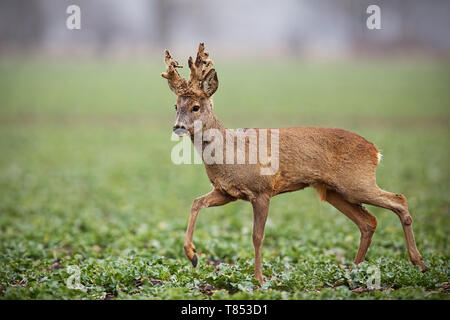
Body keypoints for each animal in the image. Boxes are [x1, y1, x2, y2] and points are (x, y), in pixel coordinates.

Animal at [161, 43, 426, 284]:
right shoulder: (226, 192)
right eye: (176, 105)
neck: (231, 152)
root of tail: (375, 150)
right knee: (368, 222)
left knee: (399, 200)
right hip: (334, 192)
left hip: (356, 182)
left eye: (196, 106)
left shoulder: (262, 190)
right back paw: (355, 272)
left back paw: (419, 263)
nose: (178, 126)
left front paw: (259, 280)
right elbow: (196, 203)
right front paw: (193, 256)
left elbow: (257, 236)